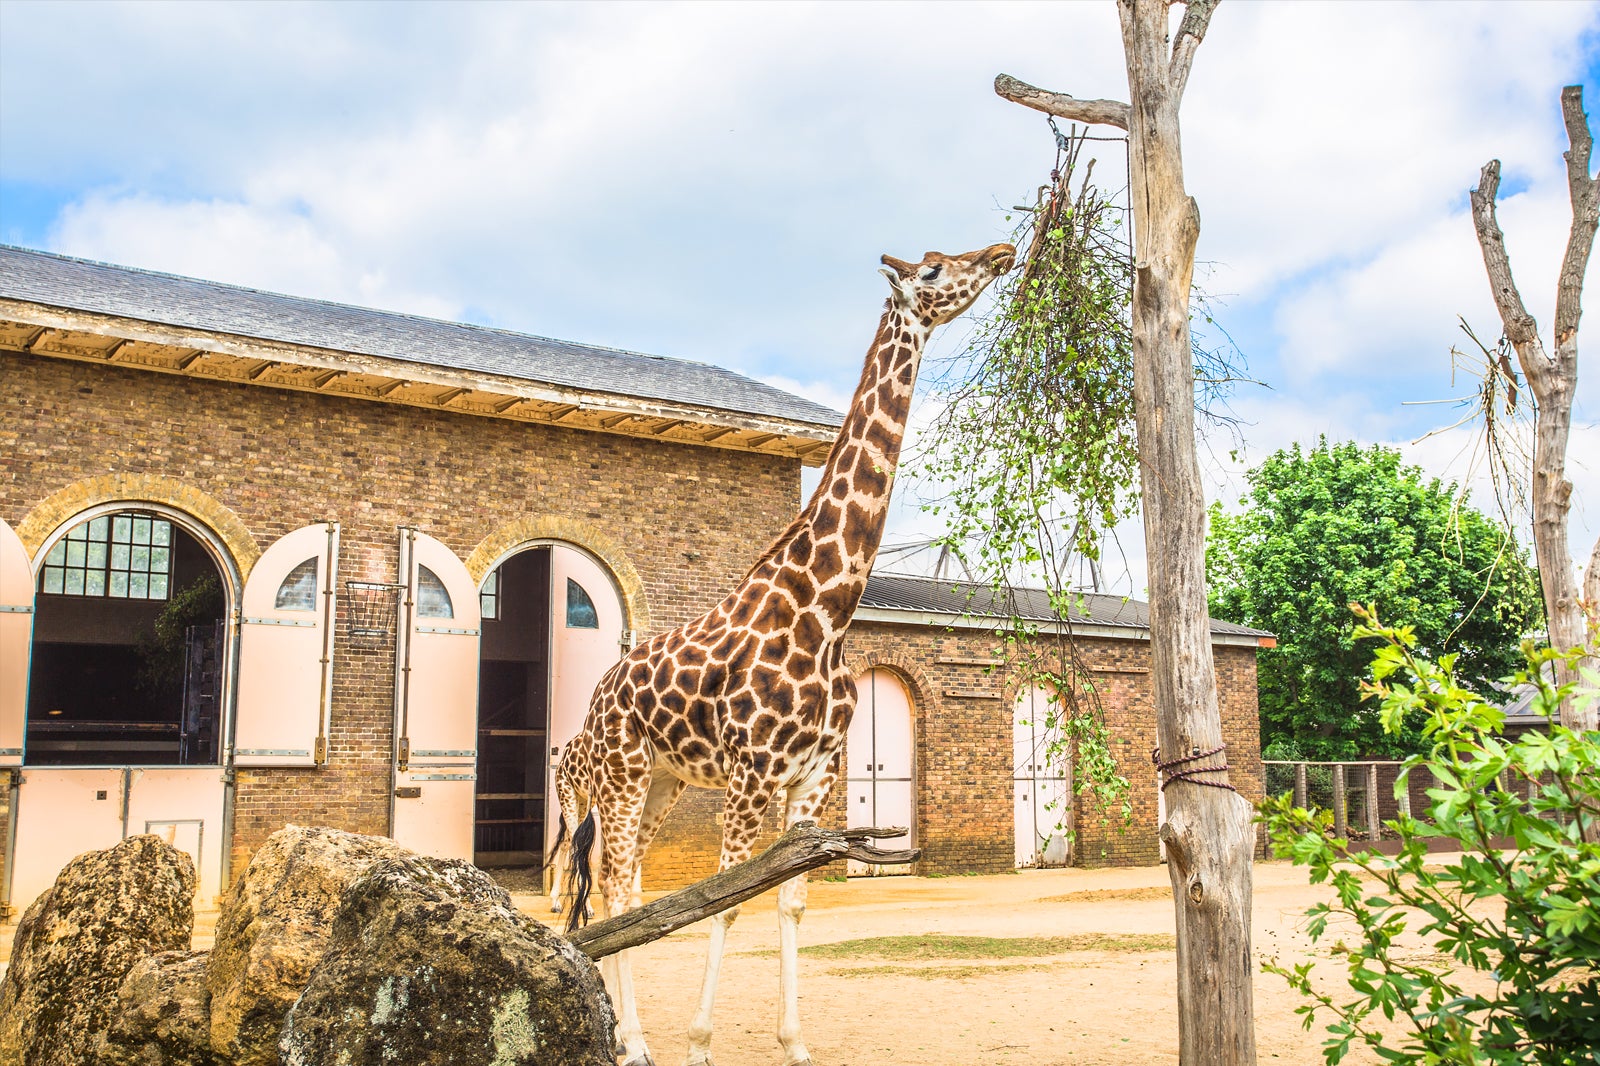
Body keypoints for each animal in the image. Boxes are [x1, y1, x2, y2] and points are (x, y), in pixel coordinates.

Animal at [556, 240, 1017, 1062]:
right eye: (932, 270)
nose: (1001, 251)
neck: (827, 610)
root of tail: (599, 694)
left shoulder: (812, 782)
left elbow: (791, 903)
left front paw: (794, 1040)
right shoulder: (751, 776)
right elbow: (724, 902)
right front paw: (701, 1041)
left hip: (665, 782)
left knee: (629, 878)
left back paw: (625, 1030)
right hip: (624, 775)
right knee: (612, 880)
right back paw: (634, 1041)